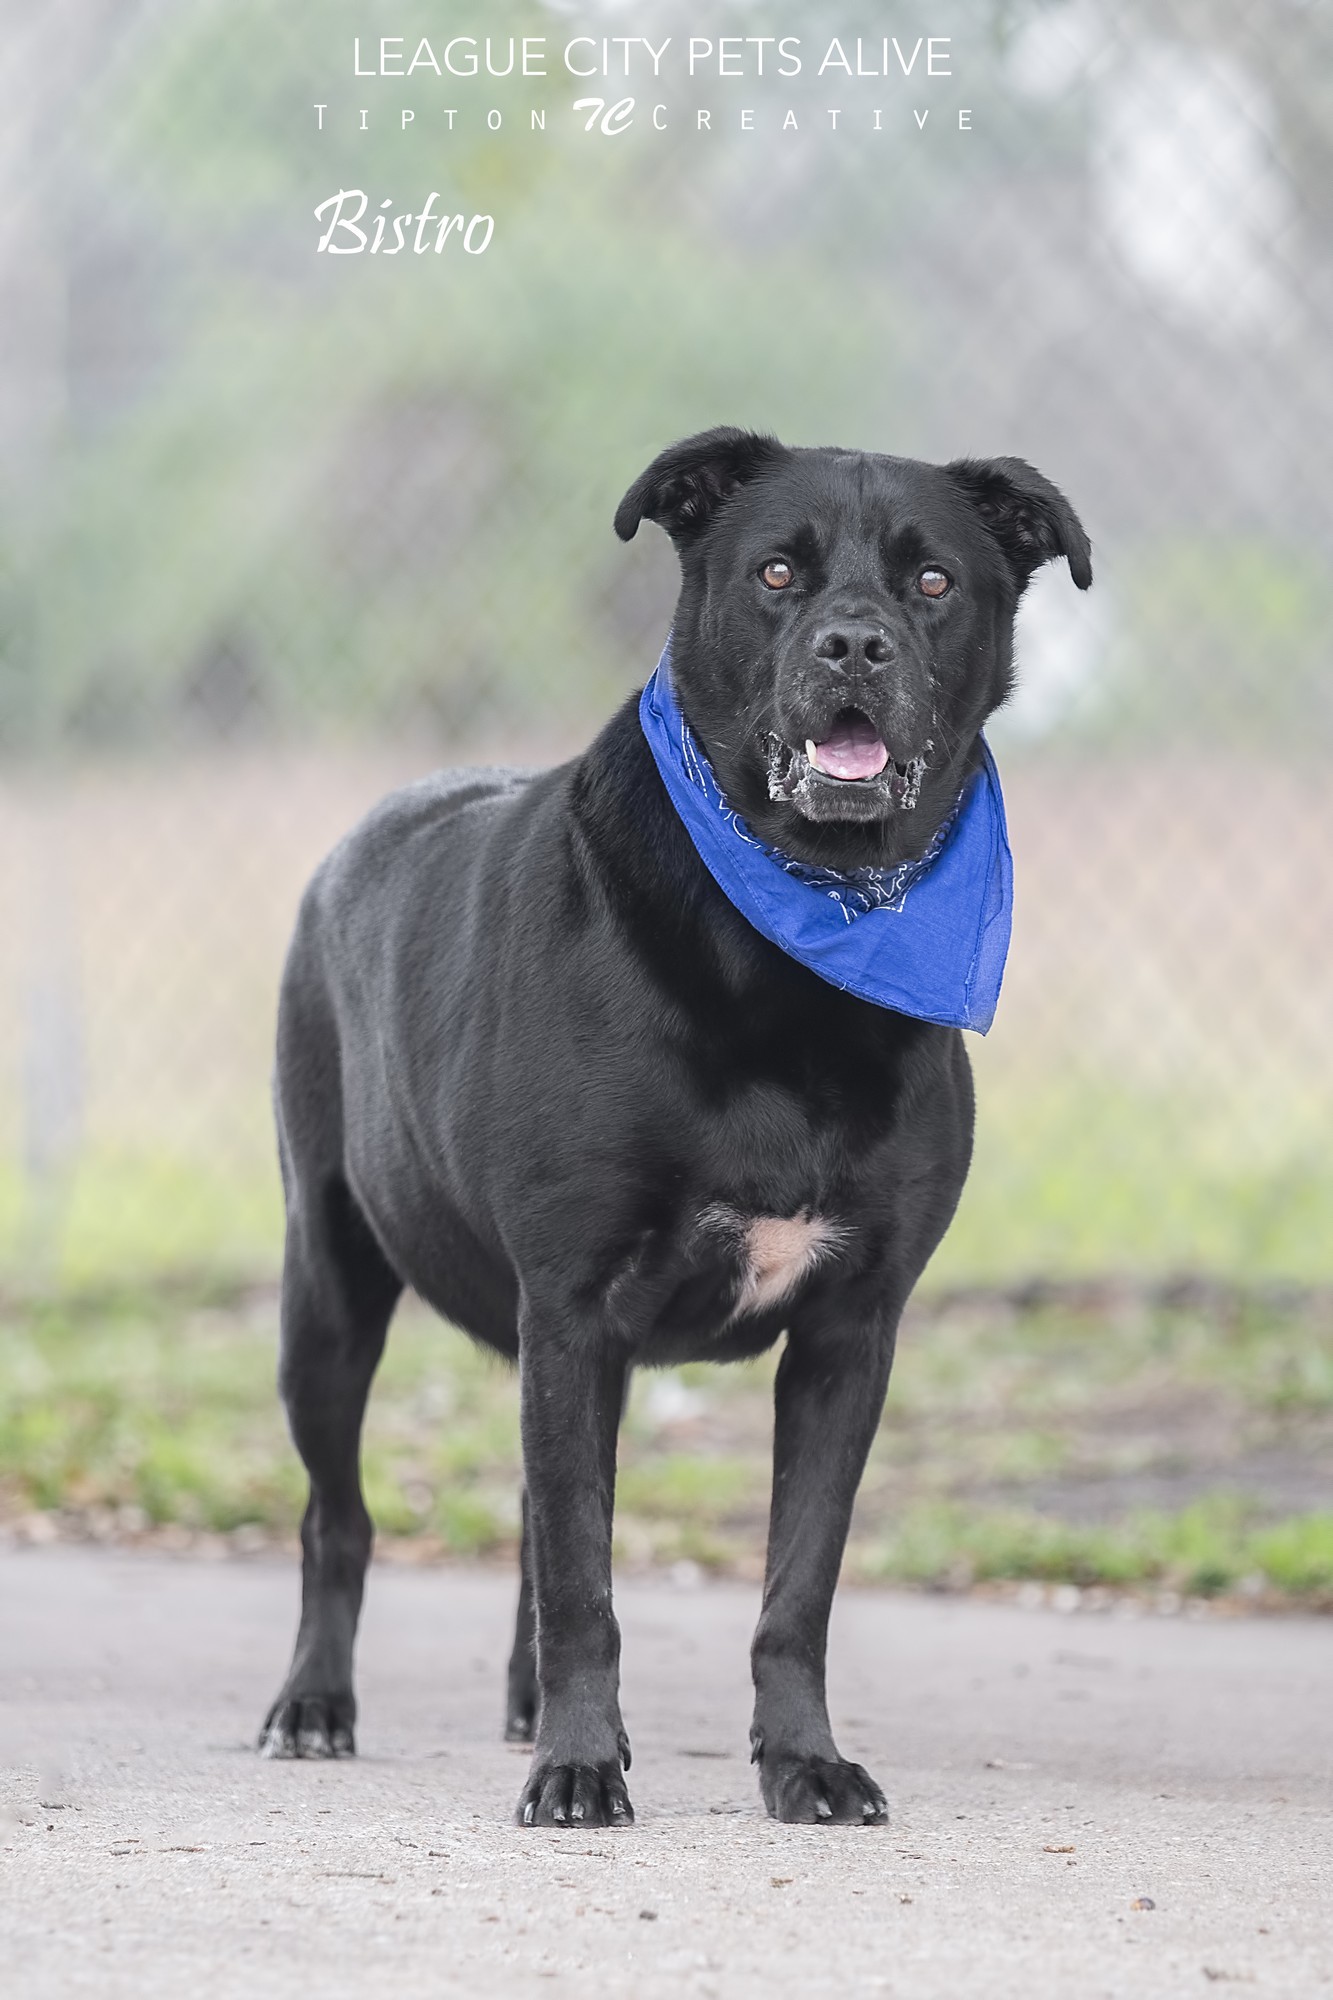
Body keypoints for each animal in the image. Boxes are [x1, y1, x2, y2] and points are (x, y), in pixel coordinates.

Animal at [260, 426, 1088, 1832]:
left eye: (931, 581)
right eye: (774, 571)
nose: (852, 646)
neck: (803, 941)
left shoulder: (846, 1329)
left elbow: (792, 1586)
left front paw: (804, 1762)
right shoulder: (574, 1301)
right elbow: (586, 1578)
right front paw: (580, 1769)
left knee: (534, 1519)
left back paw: (525, 1700)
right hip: (329, 1285)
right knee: (343, 1518)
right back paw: (318, 1704)